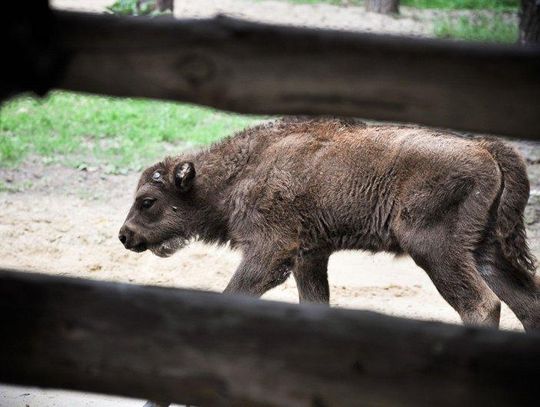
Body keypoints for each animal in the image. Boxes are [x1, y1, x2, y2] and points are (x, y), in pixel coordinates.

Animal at [120, 118, 536, 332]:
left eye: (148, 201)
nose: (126, 235)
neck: (242, 171)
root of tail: (485, 148)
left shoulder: (269, 253)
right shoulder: (310, 257)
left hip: (436, 251)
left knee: (482, 305)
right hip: (485, 251)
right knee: (527, 303)